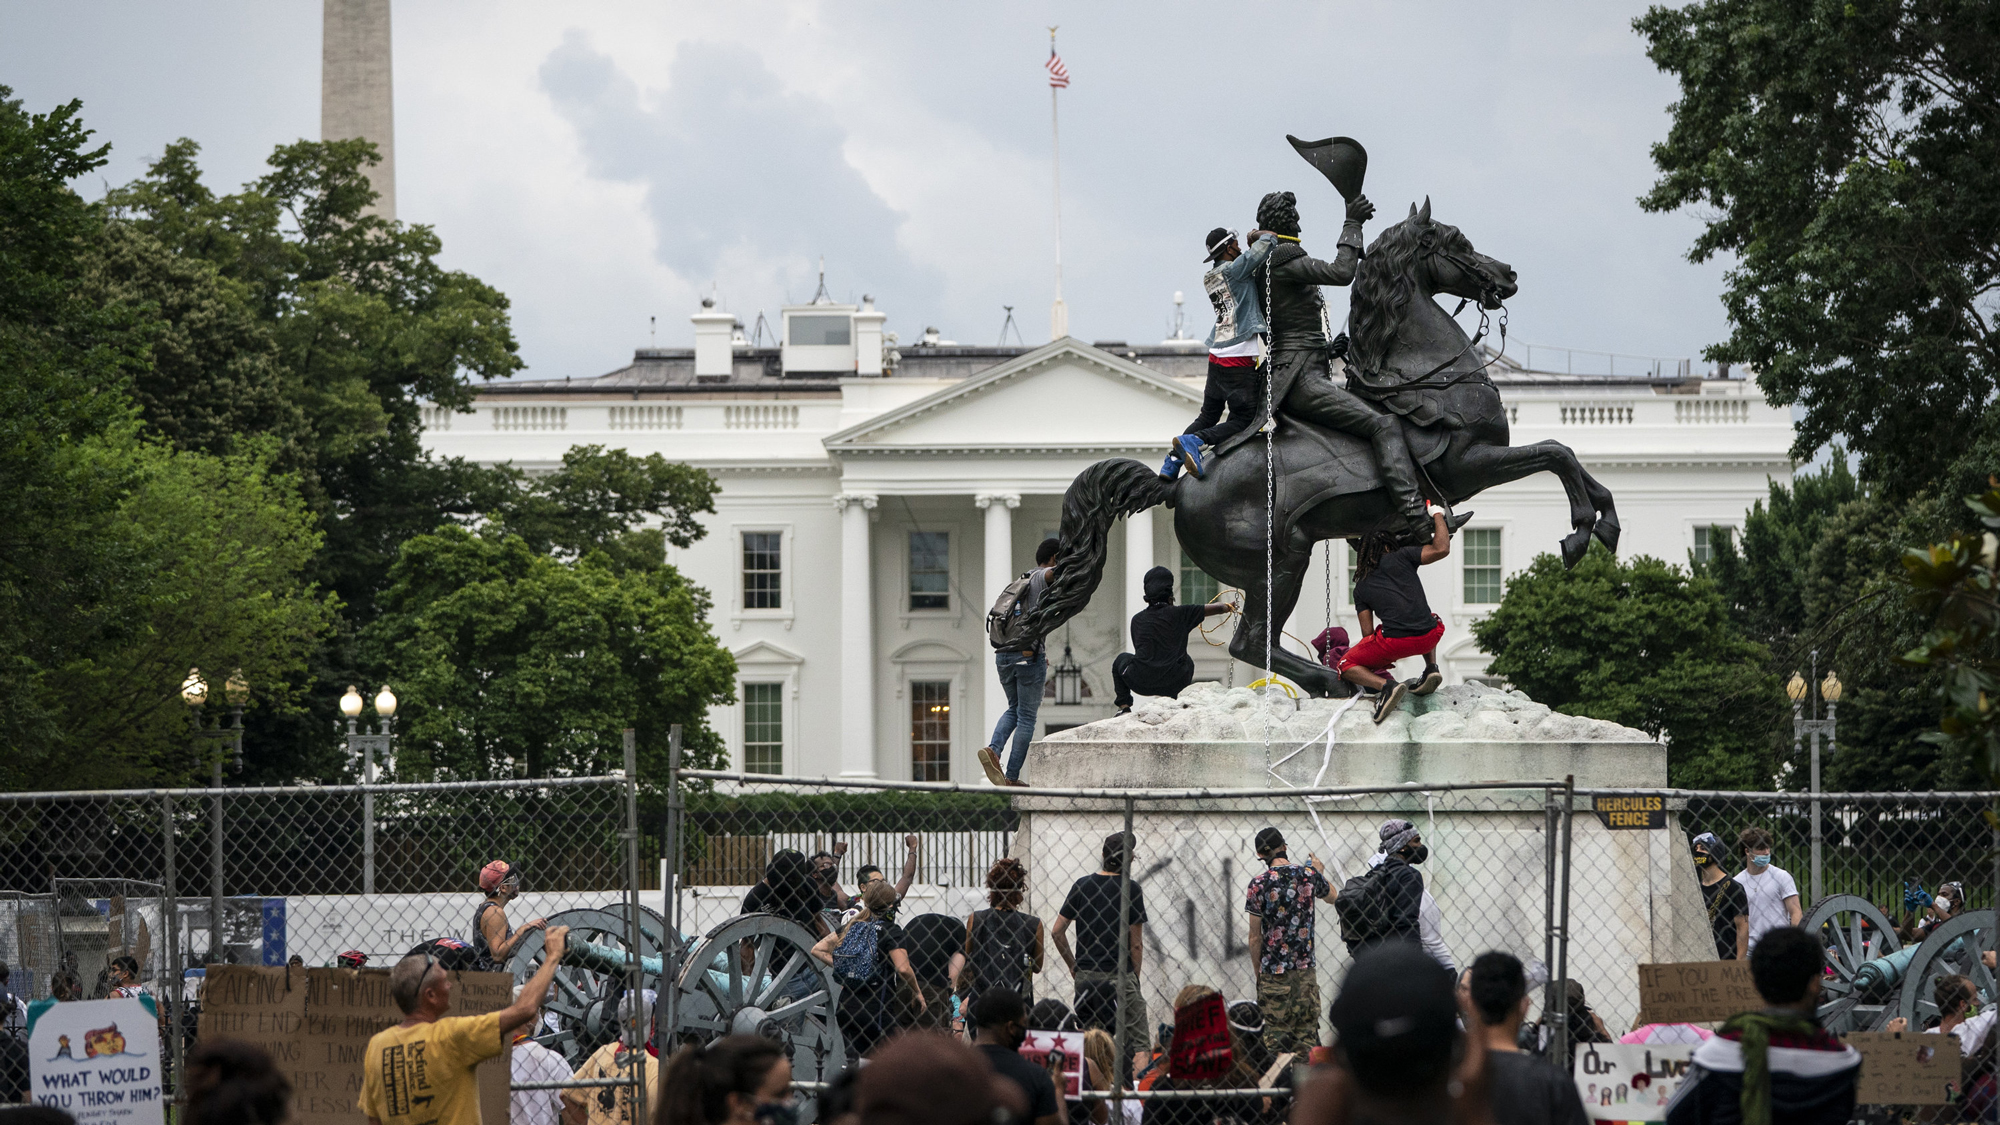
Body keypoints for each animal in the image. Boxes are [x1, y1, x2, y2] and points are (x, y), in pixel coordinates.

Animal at [1024, 199, 1616, 692]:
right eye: (1457, 241)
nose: (1509, 274)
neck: (1426, 377)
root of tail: (1180, 484)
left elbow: (1567, 456)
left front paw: (1603, 522)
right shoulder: (1469, 465)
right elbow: (1556, 452)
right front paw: (1580, 533)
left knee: (1257, 641)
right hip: (1282, 560)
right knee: (1250, 642)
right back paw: (1337, 680)